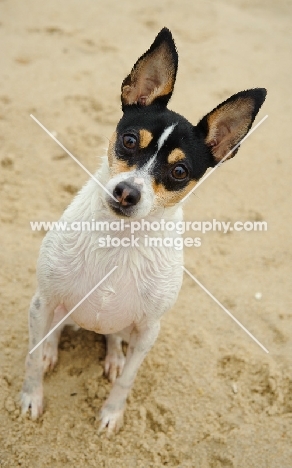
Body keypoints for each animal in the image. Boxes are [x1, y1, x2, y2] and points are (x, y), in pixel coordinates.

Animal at [20, 27, 266, 434]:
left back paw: (114, 356)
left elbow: (127, 381)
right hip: (50, 308)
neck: (121, 238)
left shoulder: (149, 330)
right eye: (130, 140)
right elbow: (32, 359)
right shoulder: (44, 300)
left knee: (114, 339)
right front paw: (31, 397)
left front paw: (111, 413)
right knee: (52, 333)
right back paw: (54, 350)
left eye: (179, 172)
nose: (126, 192)